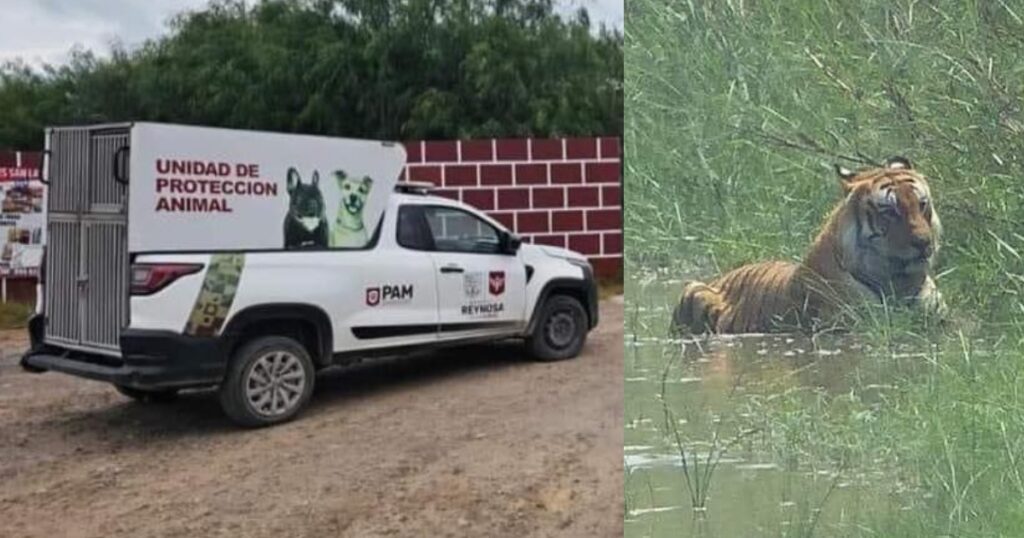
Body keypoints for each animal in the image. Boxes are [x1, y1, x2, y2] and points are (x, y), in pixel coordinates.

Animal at [675, 153, 946, 332]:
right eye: (890, 212)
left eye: (922, 204)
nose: (924, 242)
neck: (899, 281)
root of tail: (719, 277)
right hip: (694, 291)